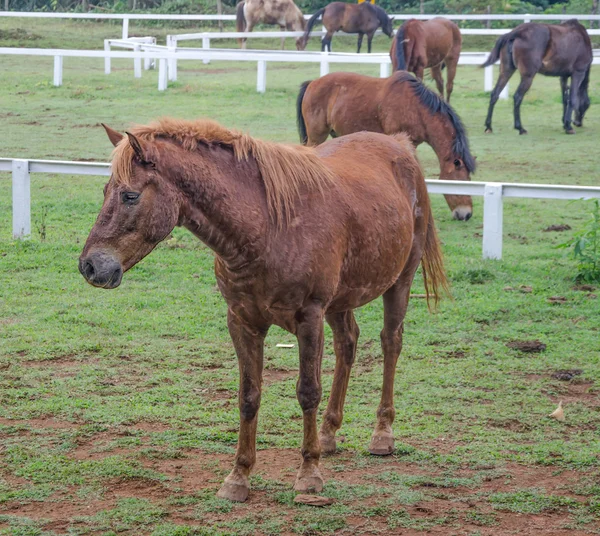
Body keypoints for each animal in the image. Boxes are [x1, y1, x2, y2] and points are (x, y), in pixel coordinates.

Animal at [79, 117, 448, 502]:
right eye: (105, 190)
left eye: (130, 195)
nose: (90, 266)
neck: (267, 227)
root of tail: (400, 146)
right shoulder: (242, 321)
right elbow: (248, 395)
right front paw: (238, 476)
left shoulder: (309, 318)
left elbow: (307, 392)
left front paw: (309, 473)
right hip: (341, 300)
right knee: (348, 343)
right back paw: (329, 433)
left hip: (399, 281)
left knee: (391, 342)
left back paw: (382, 434)